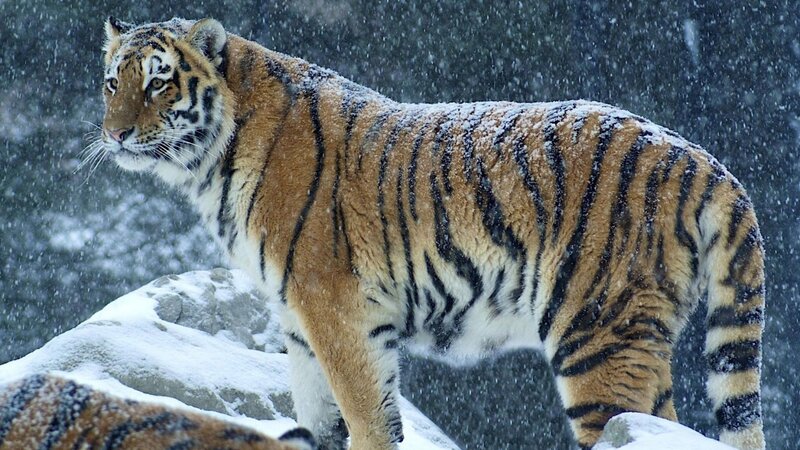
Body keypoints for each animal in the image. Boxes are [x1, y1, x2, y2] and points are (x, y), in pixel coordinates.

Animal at [95, 16, 766, 450]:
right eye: (112, 81)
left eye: (158, 81)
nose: (116, 133)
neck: (212, 162)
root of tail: (699, 158)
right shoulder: (301, 325)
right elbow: (319, 418)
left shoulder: (337, 312)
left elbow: (369, 421)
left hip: (598, 334)